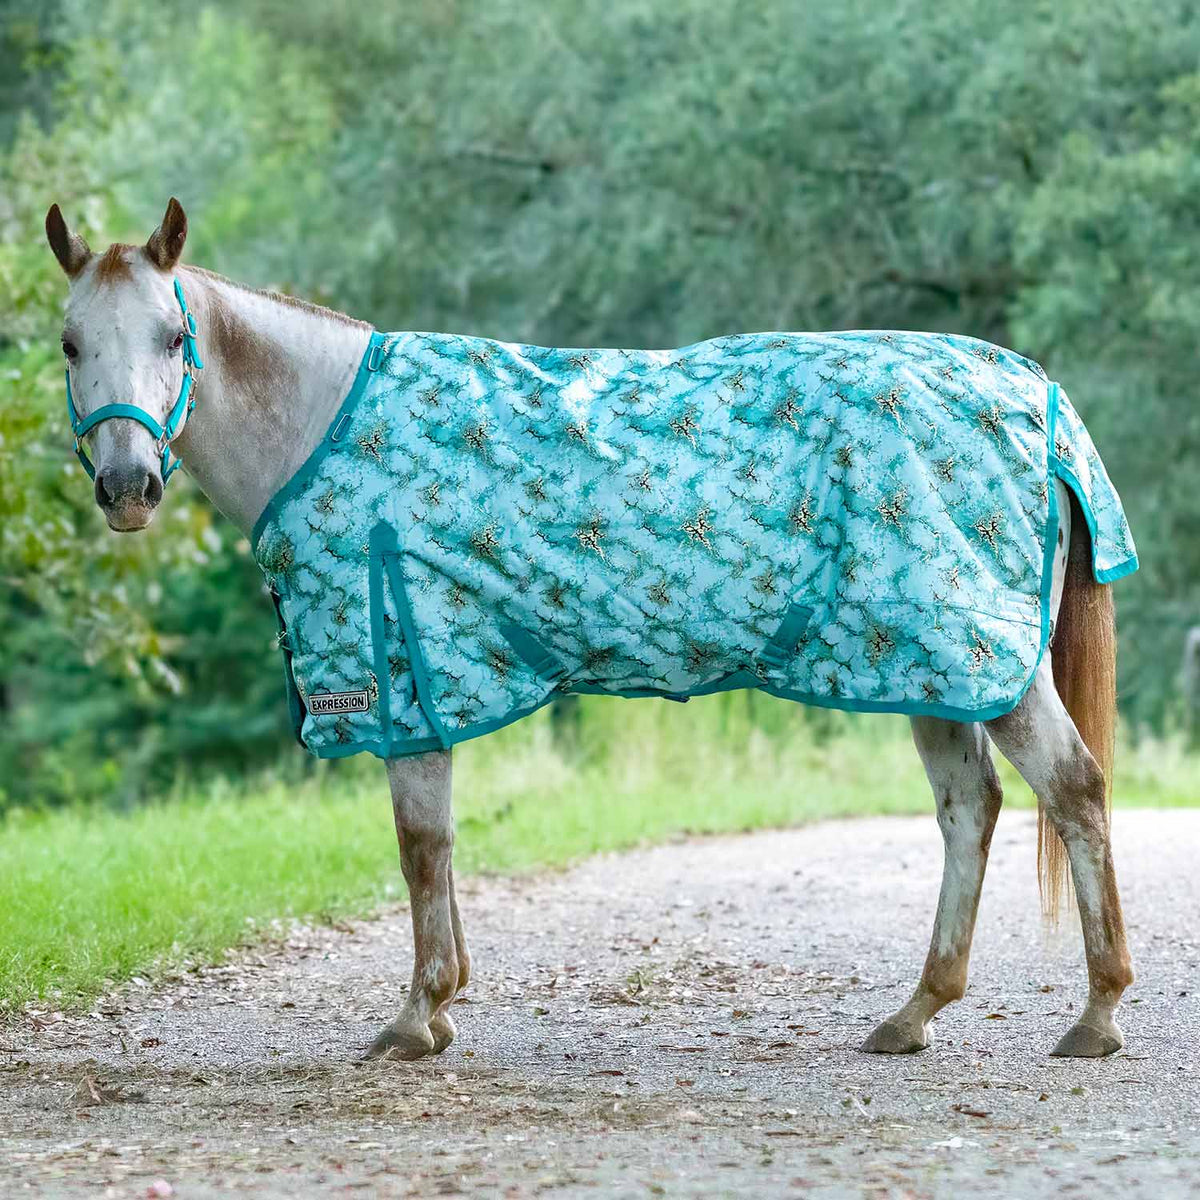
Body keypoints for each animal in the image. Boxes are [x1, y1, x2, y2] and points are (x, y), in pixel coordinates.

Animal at [44, 197, 1135, 1061]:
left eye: (172, 336)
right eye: (68, 343)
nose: (129, 487)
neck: (323, 427)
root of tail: (1036, 395)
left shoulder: (404, 675)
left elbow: (419, 845)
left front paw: (417, 1016)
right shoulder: (437, 684)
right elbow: (440, 848)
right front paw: (446, 1003)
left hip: (975, 654)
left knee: (1074, 789)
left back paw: (1096, 1013)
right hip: (922, 666)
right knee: (970, 810)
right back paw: (917, 1012)